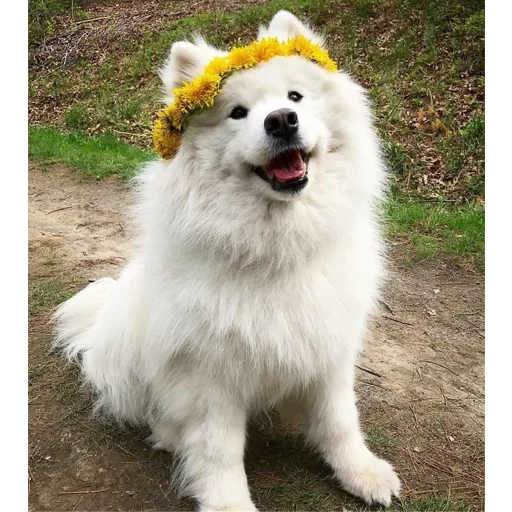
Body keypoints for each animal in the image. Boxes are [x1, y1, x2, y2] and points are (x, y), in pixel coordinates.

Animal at [54, 11, 402, 512]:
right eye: (237, 112)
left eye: (295, 97)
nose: (282, 120)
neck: (276, 247)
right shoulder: (208, 377)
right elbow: (219, 453)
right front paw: (227, 503)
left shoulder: (328, 348)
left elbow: (340, 421)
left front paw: (362, 473)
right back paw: (169, 435)